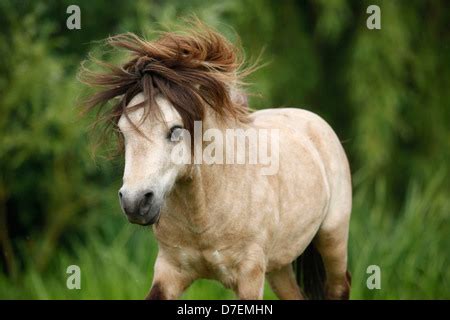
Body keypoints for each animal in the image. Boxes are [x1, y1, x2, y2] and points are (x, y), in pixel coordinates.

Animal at [81, 23, 352, 300]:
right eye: (123, 131)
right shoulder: (169, 270)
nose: (135, 203)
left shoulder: (250, 274)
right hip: (279, 266)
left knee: (339, 286)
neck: (205, 214)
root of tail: (314, 121)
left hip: (333, 239)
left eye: (175, 130)